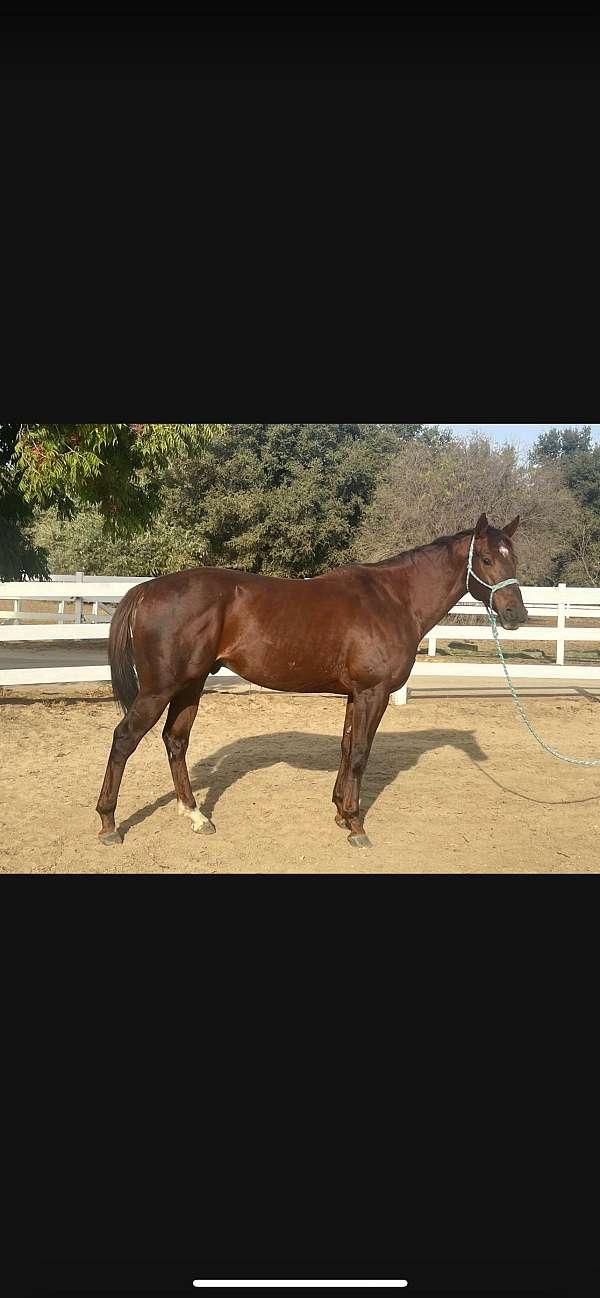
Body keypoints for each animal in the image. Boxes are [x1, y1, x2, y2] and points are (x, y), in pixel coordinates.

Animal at [96, 506, 527, 851]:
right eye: (486, 559)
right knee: (124, 739)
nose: (516, 615)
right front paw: (356, 825)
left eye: (514, 559)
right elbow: (360, 753)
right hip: (159, 689)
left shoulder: (356, 695)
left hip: (191, 684)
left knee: (176, 741)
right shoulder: (374, 693)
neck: (394, 599)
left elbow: (346, 748)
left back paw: (196, 816)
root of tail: (147, 589)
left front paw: (340, 812)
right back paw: (109, 823)